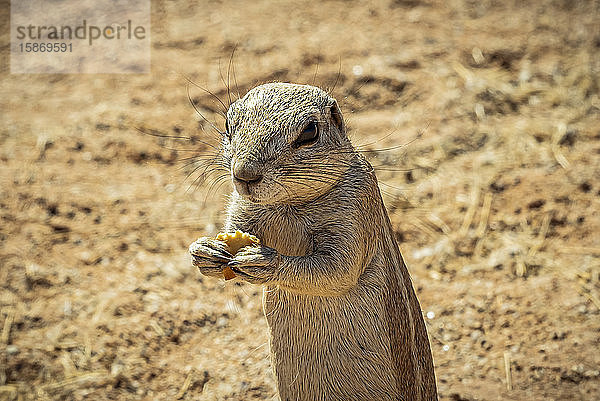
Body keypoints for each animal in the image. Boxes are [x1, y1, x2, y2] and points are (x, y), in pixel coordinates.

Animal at [190, 83, 438, 398]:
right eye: (227, 123)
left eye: (309, 132)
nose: (244, 174)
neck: (288, 205)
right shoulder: (242, 210)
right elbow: (232, 229)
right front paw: (204, 250)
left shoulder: (355, 212)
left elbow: (339, 270)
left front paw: (265, 262)